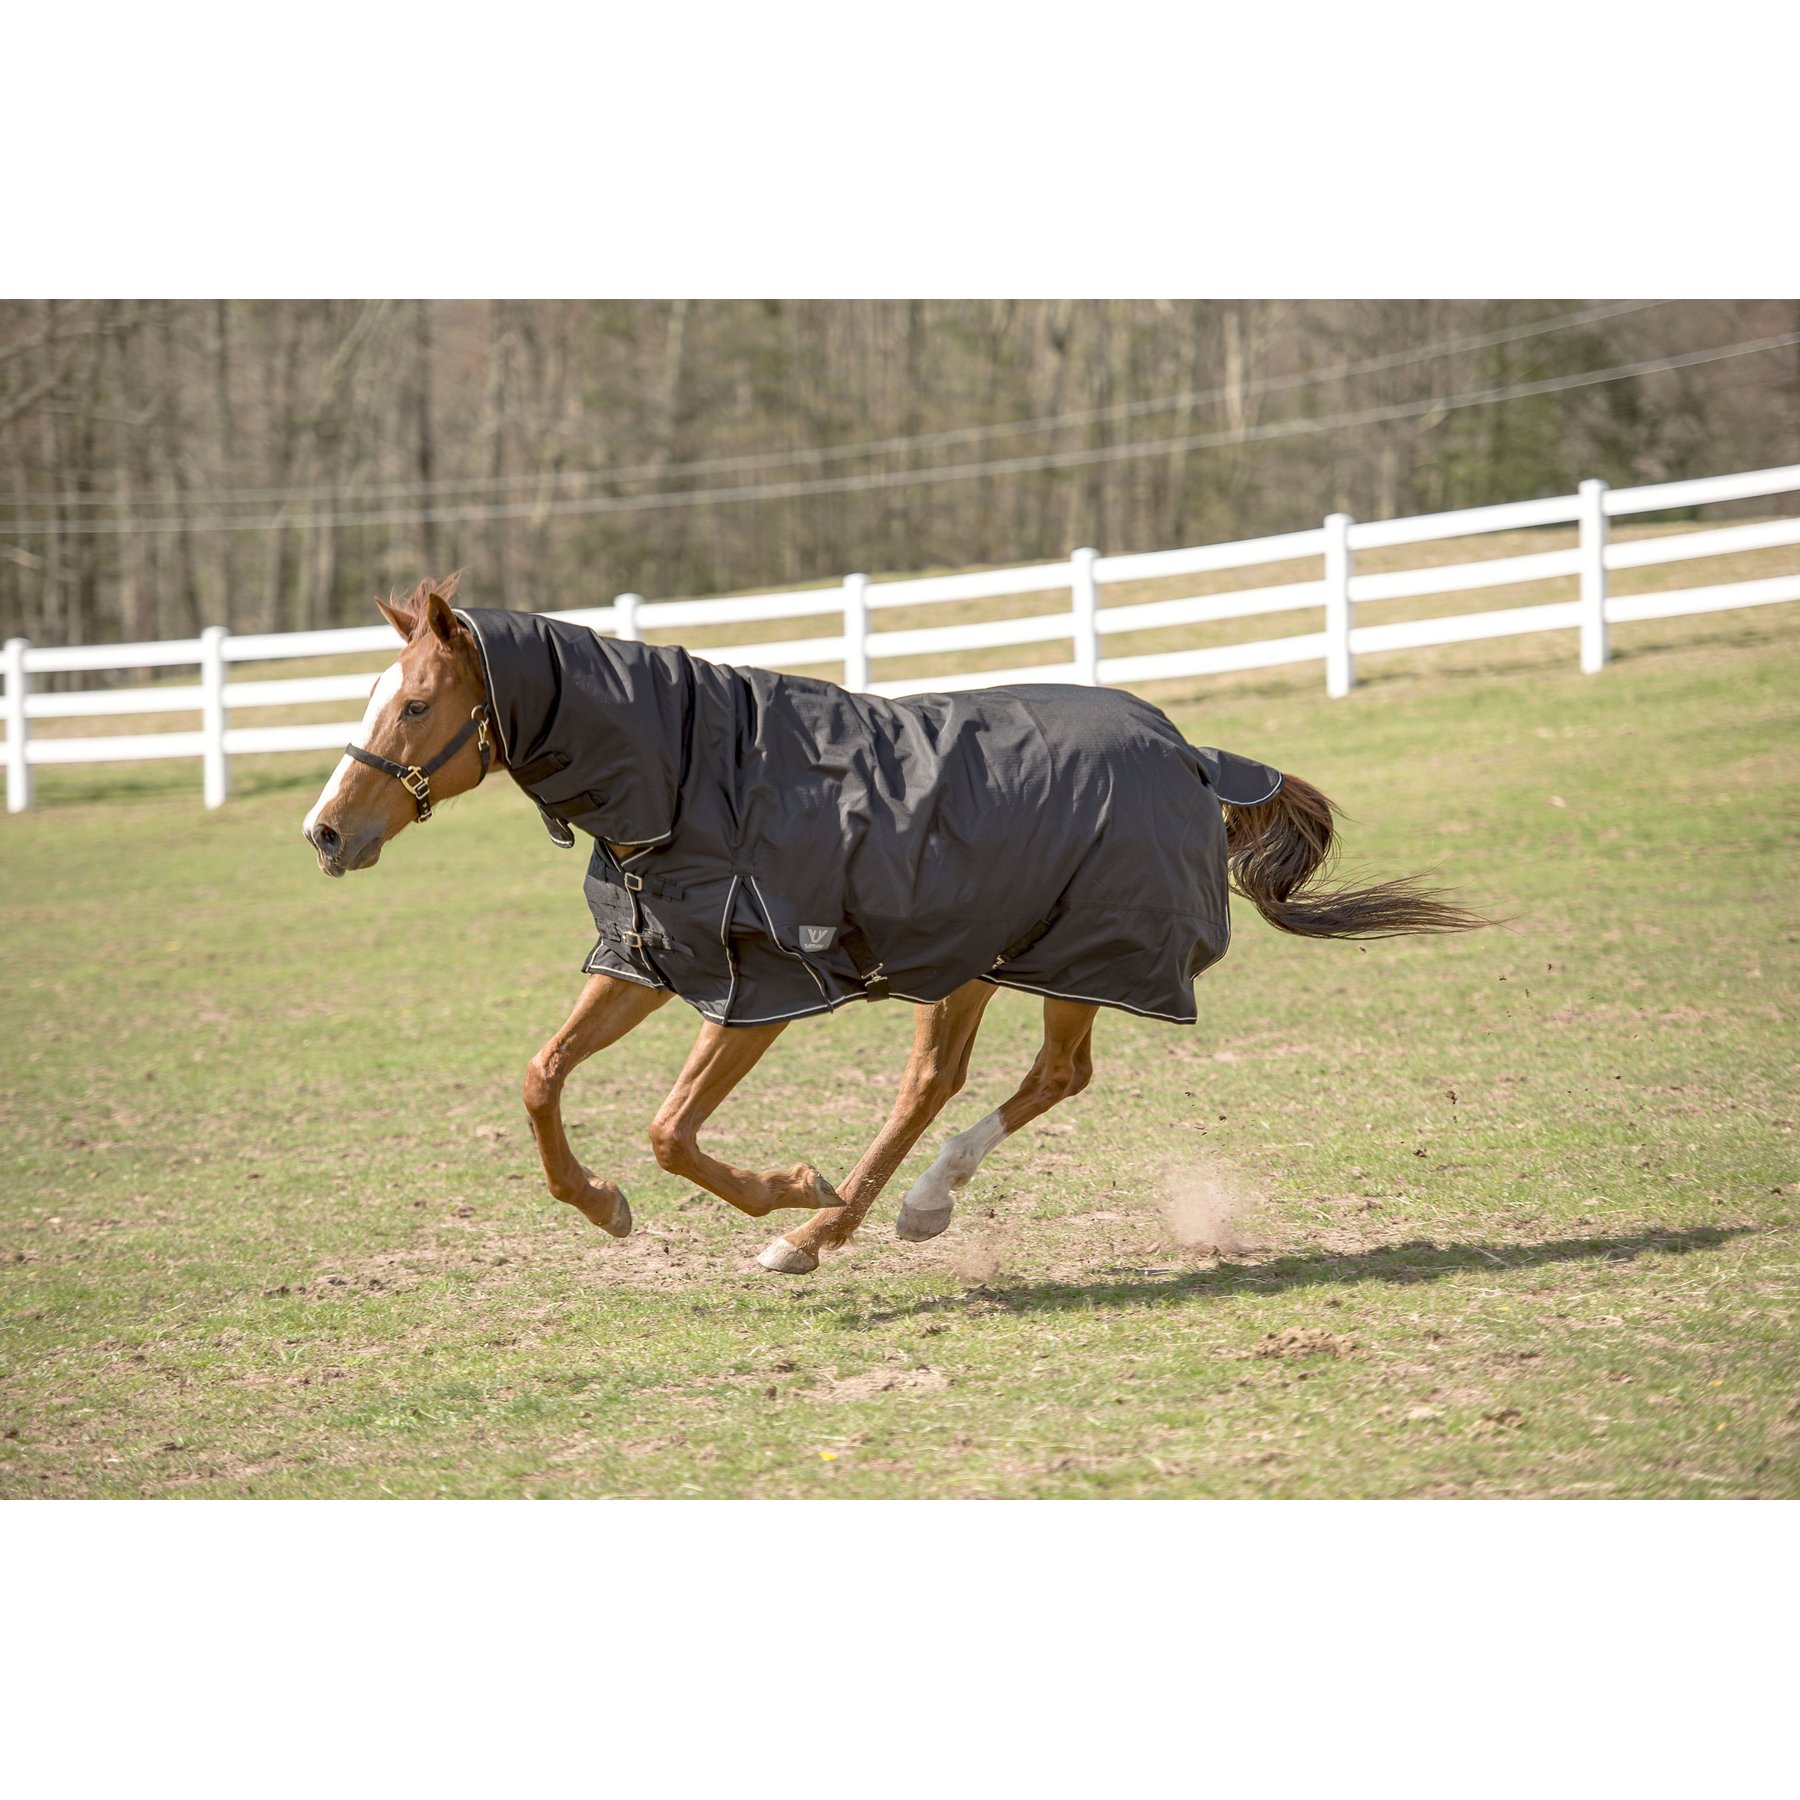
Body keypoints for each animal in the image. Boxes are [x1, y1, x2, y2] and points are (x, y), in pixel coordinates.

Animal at [303, 572, 1485, 1276]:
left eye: (415, 705)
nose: (324, 832)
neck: (690, 772)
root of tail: (1191, 750)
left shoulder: (758, 988)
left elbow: (671, 1130)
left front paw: (781, 1190)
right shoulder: (648, 961)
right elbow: (543, 1076)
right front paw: (601, 1207)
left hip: (1057, 955)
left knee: (982, 1081)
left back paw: (829, 1227)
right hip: (990, 957)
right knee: (1004, 1079)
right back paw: (896, 1213)